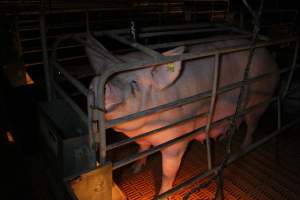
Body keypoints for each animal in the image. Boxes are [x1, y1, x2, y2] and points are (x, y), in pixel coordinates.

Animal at [86, 34, 278, 194]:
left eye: (134, 83)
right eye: (100, 74)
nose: (104, 86)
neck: (146, 129)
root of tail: (269, 55)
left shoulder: (177, 139)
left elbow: (168, 172)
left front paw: (163, 194)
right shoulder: (141, 138)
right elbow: (142, 149)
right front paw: (135, 169)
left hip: (261, 101)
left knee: (252, 126)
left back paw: (243, 148)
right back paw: (224, 138)